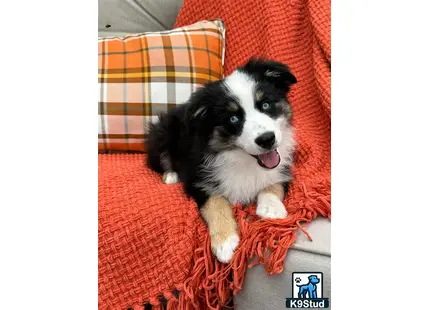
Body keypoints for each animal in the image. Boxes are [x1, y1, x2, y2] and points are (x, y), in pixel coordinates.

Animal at [146, 57, 298, 262]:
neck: (242, 159)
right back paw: (170, 175)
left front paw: (271, 207)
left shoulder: (283, 164)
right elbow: (215, 202)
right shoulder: (197, 178)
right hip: (162, 132)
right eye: (233, 118)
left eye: (265, 105)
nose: (267, 139)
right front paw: (224, 243)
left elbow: (275, 182)